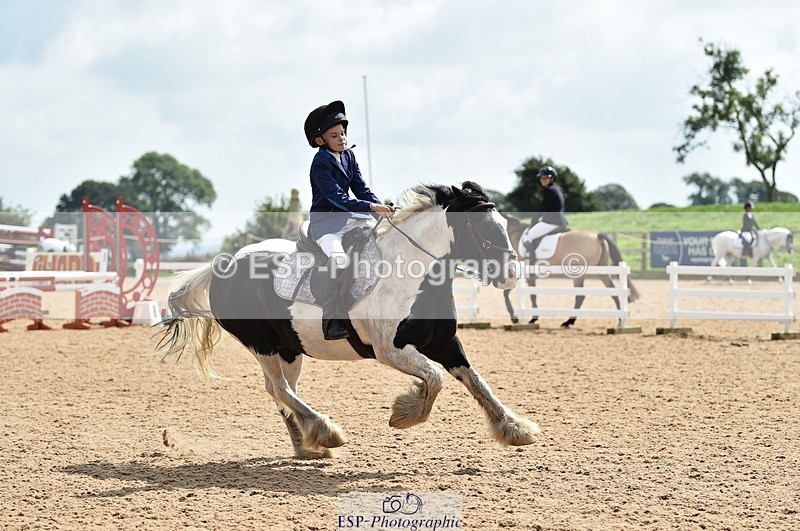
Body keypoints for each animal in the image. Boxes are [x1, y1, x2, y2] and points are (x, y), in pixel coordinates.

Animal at [156, 182, 540, 459]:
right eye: (483, 228)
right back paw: (325, 432)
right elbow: (434, 379)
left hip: (288, 349)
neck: (411, 272)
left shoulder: (445, 344)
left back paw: (306, 445)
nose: (510, 276)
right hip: (261, 344)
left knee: (281, 390)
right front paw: (405, 413)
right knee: (279, 389)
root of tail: (224, 264)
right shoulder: (390, 350)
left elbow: (476, 382)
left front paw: (514, 427)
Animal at [500, 213, 640, 327]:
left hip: (578, 274)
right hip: (602, 271)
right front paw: (532, 318)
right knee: (613, 292)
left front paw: (518, 318)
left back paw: (568, 321)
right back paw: (620, 321)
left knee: (580, 296)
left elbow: (511, 294)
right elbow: (532, 294)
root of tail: (597, 235)